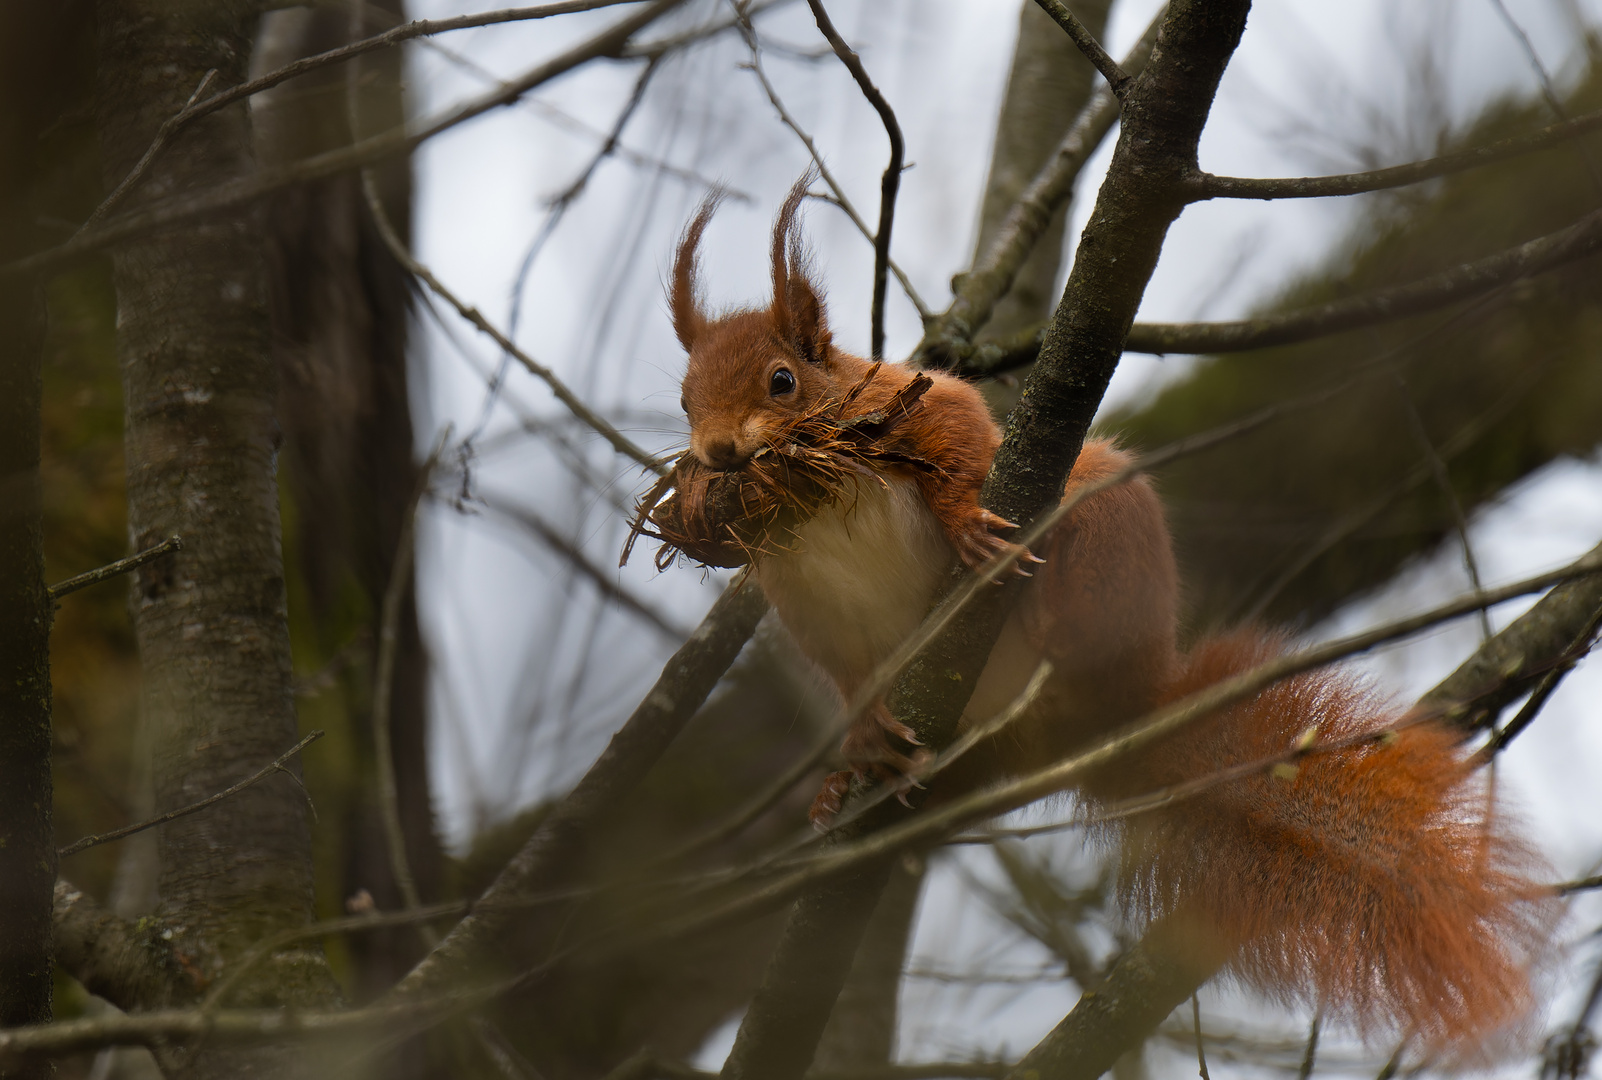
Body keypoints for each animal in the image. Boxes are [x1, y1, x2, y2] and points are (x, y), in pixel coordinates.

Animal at [663, 185, 1550, 1051]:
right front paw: (857, 732)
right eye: (683, 398)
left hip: (1102, 513)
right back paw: (855, 774)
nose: (717, 453)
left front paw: (965, 520)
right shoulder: (800, 601)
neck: (809, 495)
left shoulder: (916, 404)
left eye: (781, 380)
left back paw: (1047, 611)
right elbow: (846, 674)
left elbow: (962, 438)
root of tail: (1108, 724)